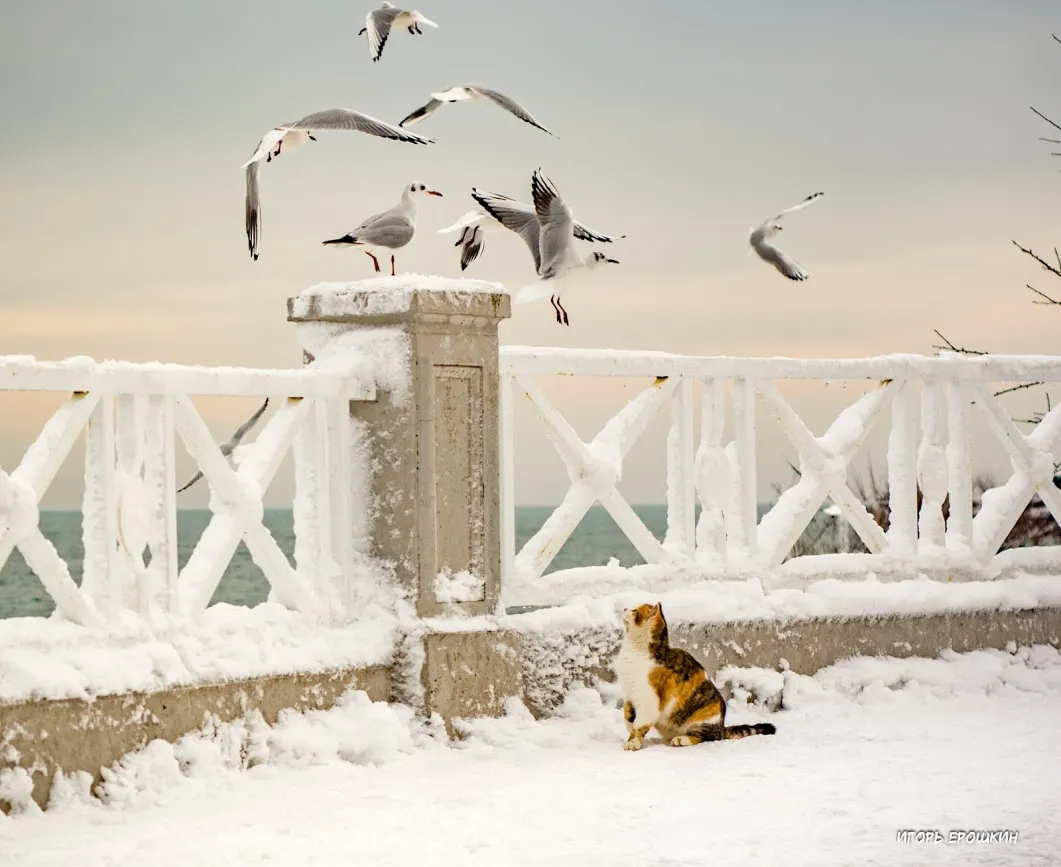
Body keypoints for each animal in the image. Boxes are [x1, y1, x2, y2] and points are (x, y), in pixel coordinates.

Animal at [615, 598, 780, 747]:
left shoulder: (649, 700)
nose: (624, 608)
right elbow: (628, 714)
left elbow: (639, 725)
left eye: (634, 610)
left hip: (706, 714)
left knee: (706, 737)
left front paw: (633, 742)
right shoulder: (630, 694)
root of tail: (721, 727)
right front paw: (629, 726)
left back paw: (681, 739)